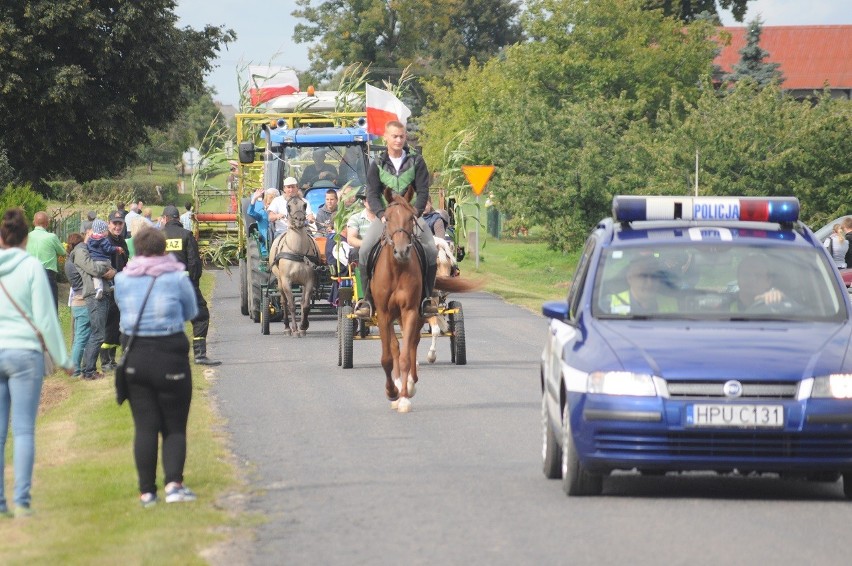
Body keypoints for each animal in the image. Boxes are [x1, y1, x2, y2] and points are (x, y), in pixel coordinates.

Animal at [270, 197, 320, 338]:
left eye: (305, 205)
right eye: (288, 206)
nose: (300, 219)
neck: (298, 253)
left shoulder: (309, 280)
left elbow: (306, 305)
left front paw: (303, 326)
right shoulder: (286, 280)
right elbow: (291, 305)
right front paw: (295, 330)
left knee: (302, 301)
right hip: (279, 281)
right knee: (284, 302)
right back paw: (287, 327)